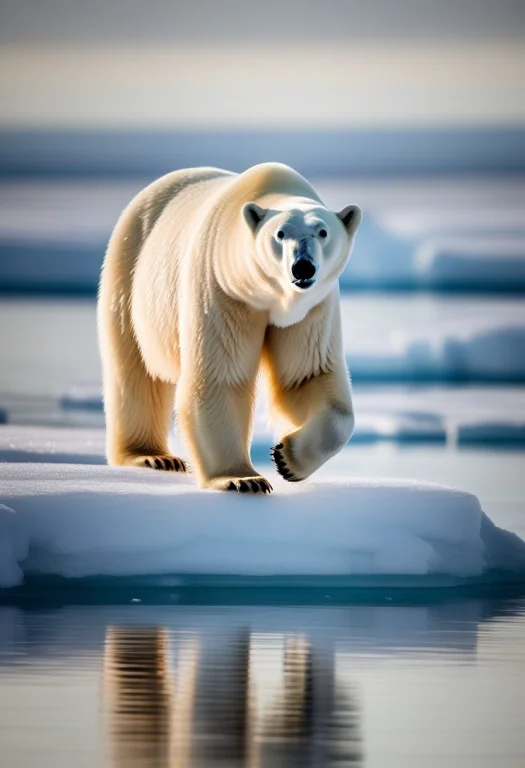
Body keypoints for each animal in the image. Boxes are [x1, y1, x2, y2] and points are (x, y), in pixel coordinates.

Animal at [98, 162, 362, 492]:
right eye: (280, 233)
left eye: (323, 231)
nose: (302, 267)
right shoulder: (221, 288)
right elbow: (220, 377)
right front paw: (243, 479)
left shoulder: (311, 309)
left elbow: (306, 377)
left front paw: (286, 458)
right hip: (129, 273)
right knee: (135, 371)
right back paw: (152, 456)